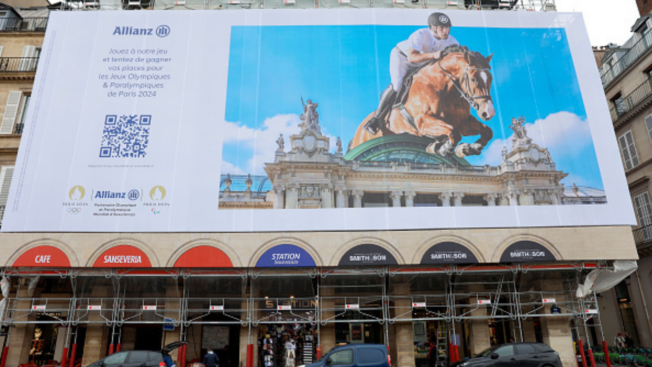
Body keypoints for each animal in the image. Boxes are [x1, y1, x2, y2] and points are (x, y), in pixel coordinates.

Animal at [352, 46, 494, 158]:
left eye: (491, 79)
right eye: (473, 79)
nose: (488, 112)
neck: (442, 87)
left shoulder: (462, 122)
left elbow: (488, 131)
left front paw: (467, 149)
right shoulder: (423, 121)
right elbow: (454, 133)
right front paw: (443, 148)